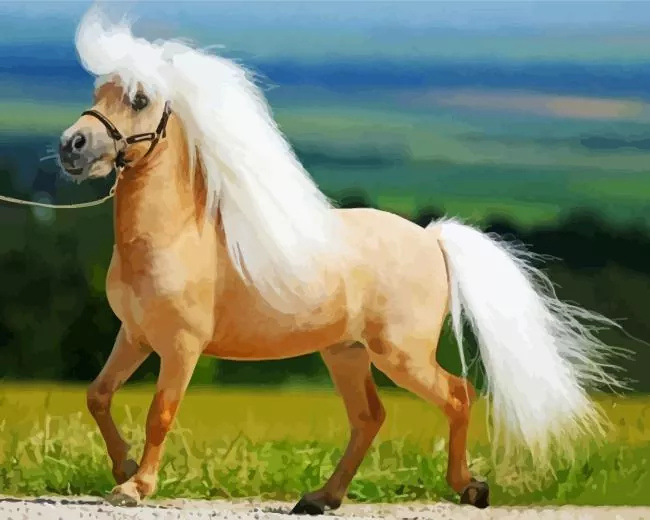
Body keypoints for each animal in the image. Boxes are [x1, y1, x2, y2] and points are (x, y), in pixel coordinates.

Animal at [57, 7, 626, 513]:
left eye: (139, 98)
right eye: (97, 93)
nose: (72, 145)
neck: (172, 237)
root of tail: (432, 239)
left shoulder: (181, 346)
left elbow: (160, 412)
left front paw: (135, 488)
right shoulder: (134, 336)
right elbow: (97, 395)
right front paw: (124, 469)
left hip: (400, 355)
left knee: (457, 394)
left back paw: (469, 488)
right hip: (346, 353)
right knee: (369, 417)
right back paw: (320, 498)